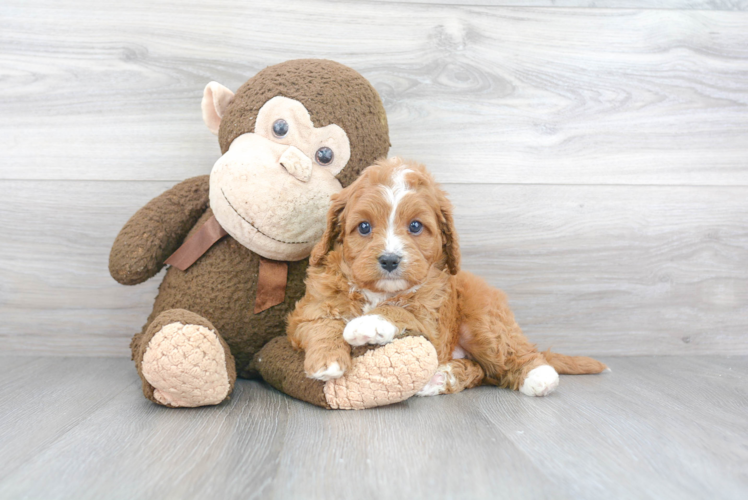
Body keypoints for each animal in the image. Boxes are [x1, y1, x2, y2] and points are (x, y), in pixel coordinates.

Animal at [288, 158, 608, 396]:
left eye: (415, 226)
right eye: (364, 227)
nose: (390, 260)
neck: (380, 291)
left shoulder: (432, 320)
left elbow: (403, 311)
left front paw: (370, 321)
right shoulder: (311, 309)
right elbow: (322, 325)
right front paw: (327, 361)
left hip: (482, 319)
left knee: (508, 353)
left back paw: (539, 375)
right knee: (480, 371)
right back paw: (438, 378)